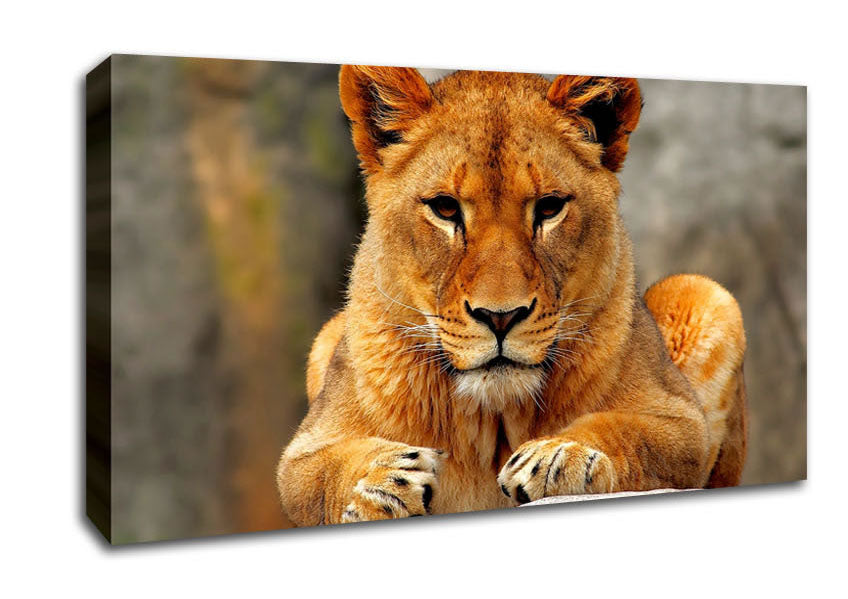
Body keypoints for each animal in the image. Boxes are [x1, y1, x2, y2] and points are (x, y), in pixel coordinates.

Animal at [276, 66, 747, 526]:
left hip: (702, 293)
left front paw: (561, 456)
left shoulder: (681, 421)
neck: (494, 419)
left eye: (550, 207)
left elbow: (628, 432)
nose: (500, 317)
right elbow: (322, 473)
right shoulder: (304, 451)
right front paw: (382, 481)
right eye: (445, 208)